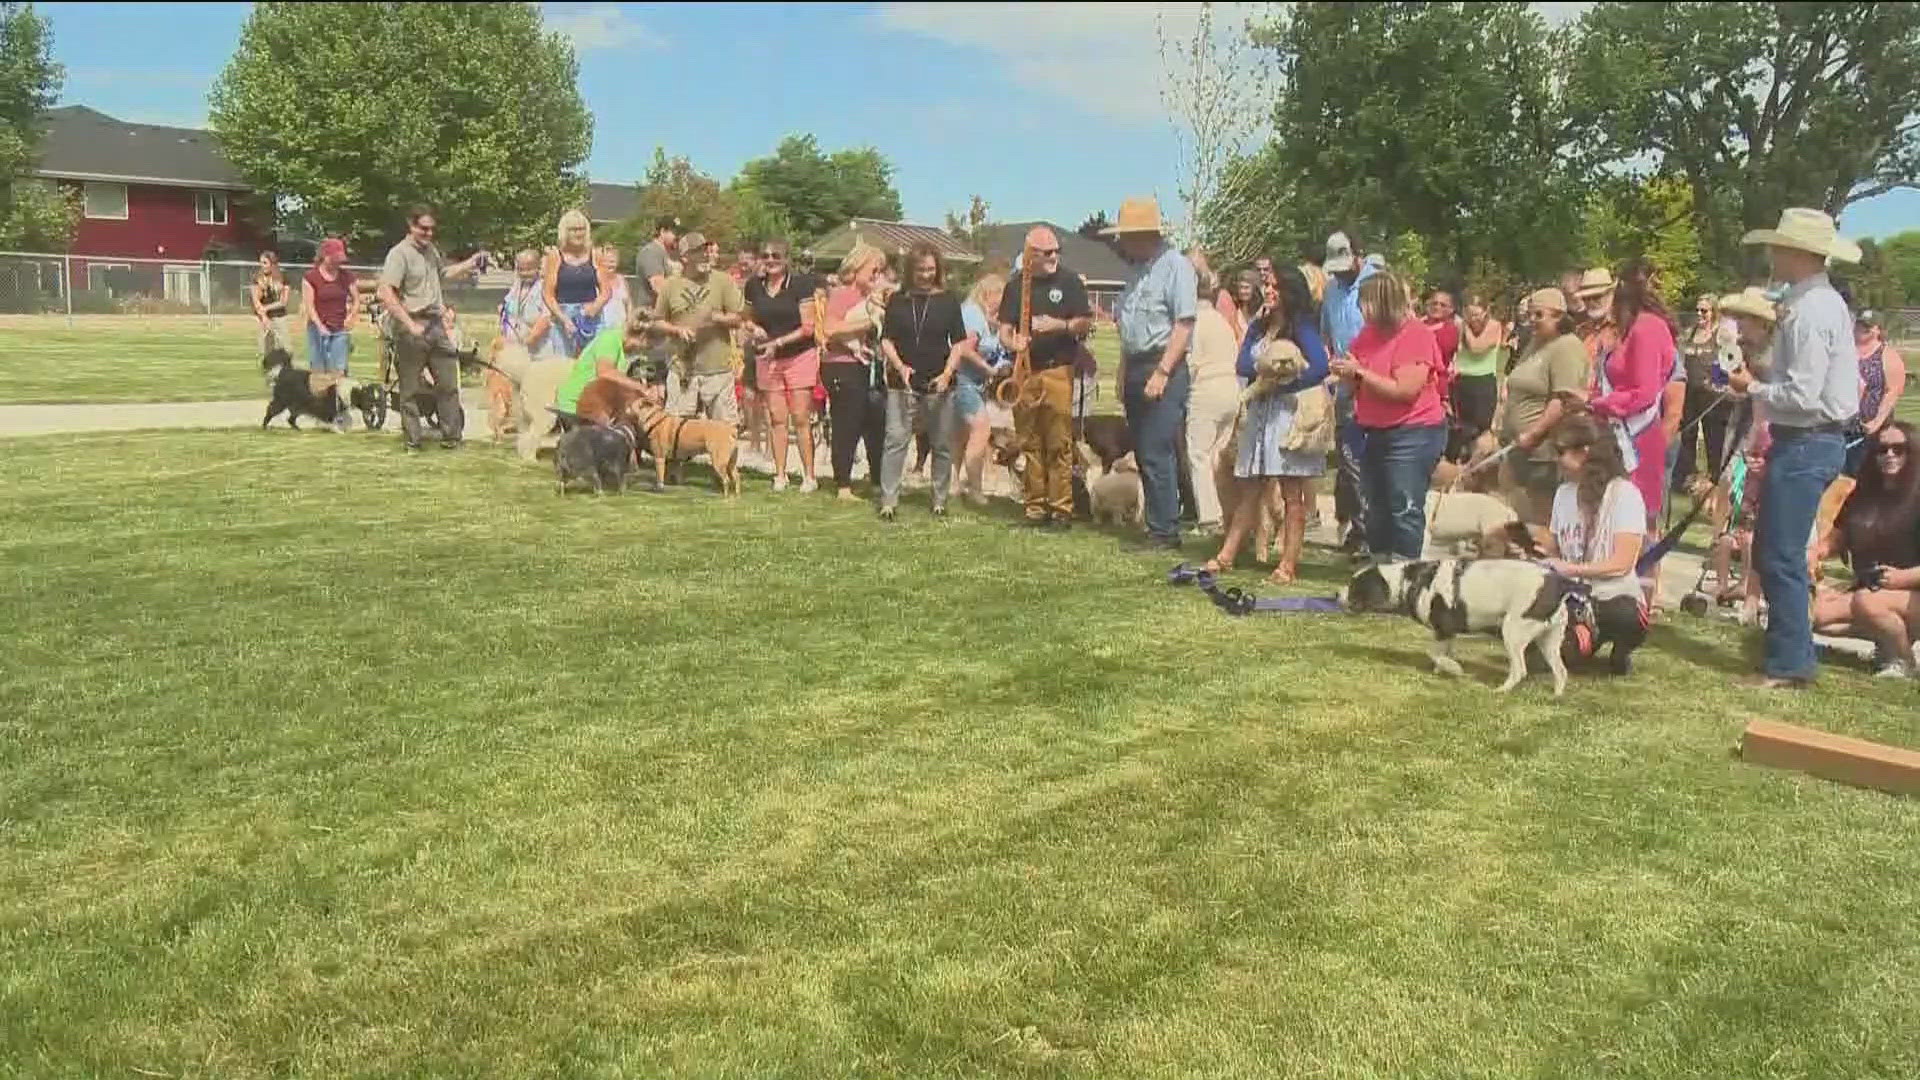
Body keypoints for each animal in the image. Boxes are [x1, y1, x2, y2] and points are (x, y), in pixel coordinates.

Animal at [1344, 557, 1582, 691]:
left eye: (1354, 585)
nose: (1337, 594)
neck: (1408, 582)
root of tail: (1559, 584)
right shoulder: (1448, 632)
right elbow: (1443, 654)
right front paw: (1443, 670)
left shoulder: (1442, 629)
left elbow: (1435, 654)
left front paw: (1454, 670)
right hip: (1549, 642)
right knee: (1561, 672)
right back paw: (1556, 696)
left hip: (1513, 634)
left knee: (1519, 670)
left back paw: (1501, 691)